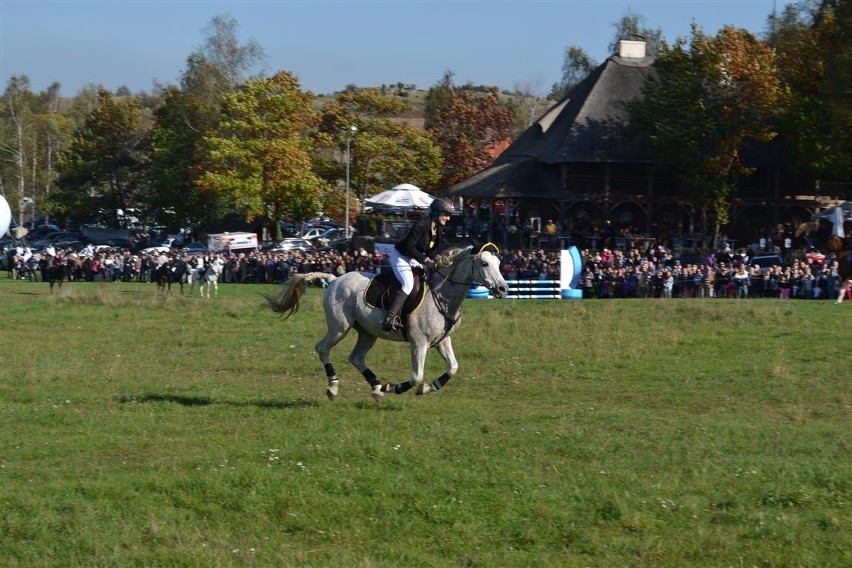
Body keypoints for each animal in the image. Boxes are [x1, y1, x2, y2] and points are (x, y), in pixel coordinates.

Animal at [262, 244, 510, 400]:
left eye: (499, 263)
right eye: (484, 263)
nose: (503, 289)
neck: (441, 295)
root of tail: (334, 279)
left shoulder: (442, 341)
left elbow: (453, 368)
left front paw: (428, 388)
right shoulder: (419, 343)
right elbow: (416, 376)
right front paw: (396, 387)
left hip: (367, 332)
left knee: (356, 357)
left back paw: (377, 388)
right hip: (339, 328)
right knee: (322, 348)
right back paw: (334, 387)